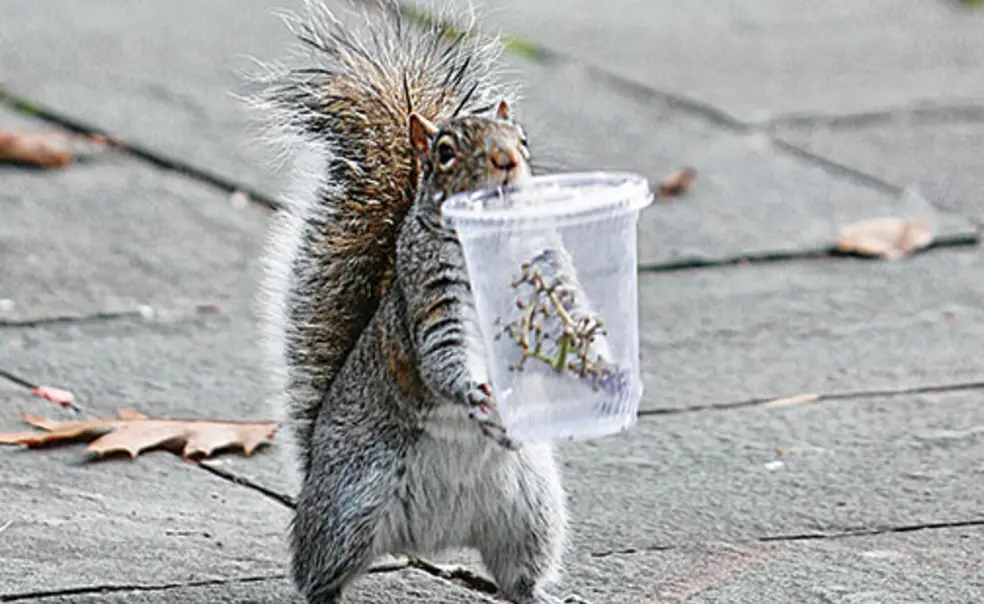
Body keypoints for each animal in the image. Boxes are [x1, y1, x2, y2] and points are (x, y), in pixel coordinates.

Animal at [251, 2, 595, 602]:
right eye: (446, 153)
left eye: (522, 138)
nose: (508, 161)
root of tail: (435, 536)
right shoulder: (434, 303)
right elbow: (444, 358)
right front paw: (477, 393)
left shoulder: (546, 268)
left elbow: (565, 312)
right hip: (349, 508)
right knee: (318, 573)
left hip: (531, 510)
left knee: (519, 575)